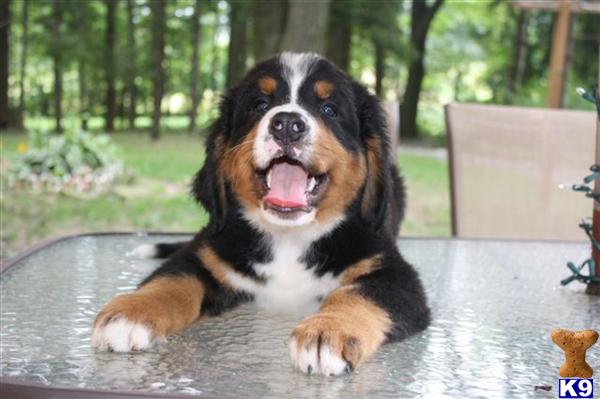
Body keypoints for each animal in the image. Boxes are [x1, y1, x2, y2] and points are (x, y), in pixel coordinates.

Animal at [91, 51, 428, 376]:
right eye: (260, 105)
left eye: (329, 109)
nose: (288, 124)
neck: (290, 238)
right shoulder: (207, 254)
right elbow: (172, 280)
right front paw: (129, 313)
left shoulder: (394, 273)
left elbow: (357, 294)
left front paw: (327, 331)